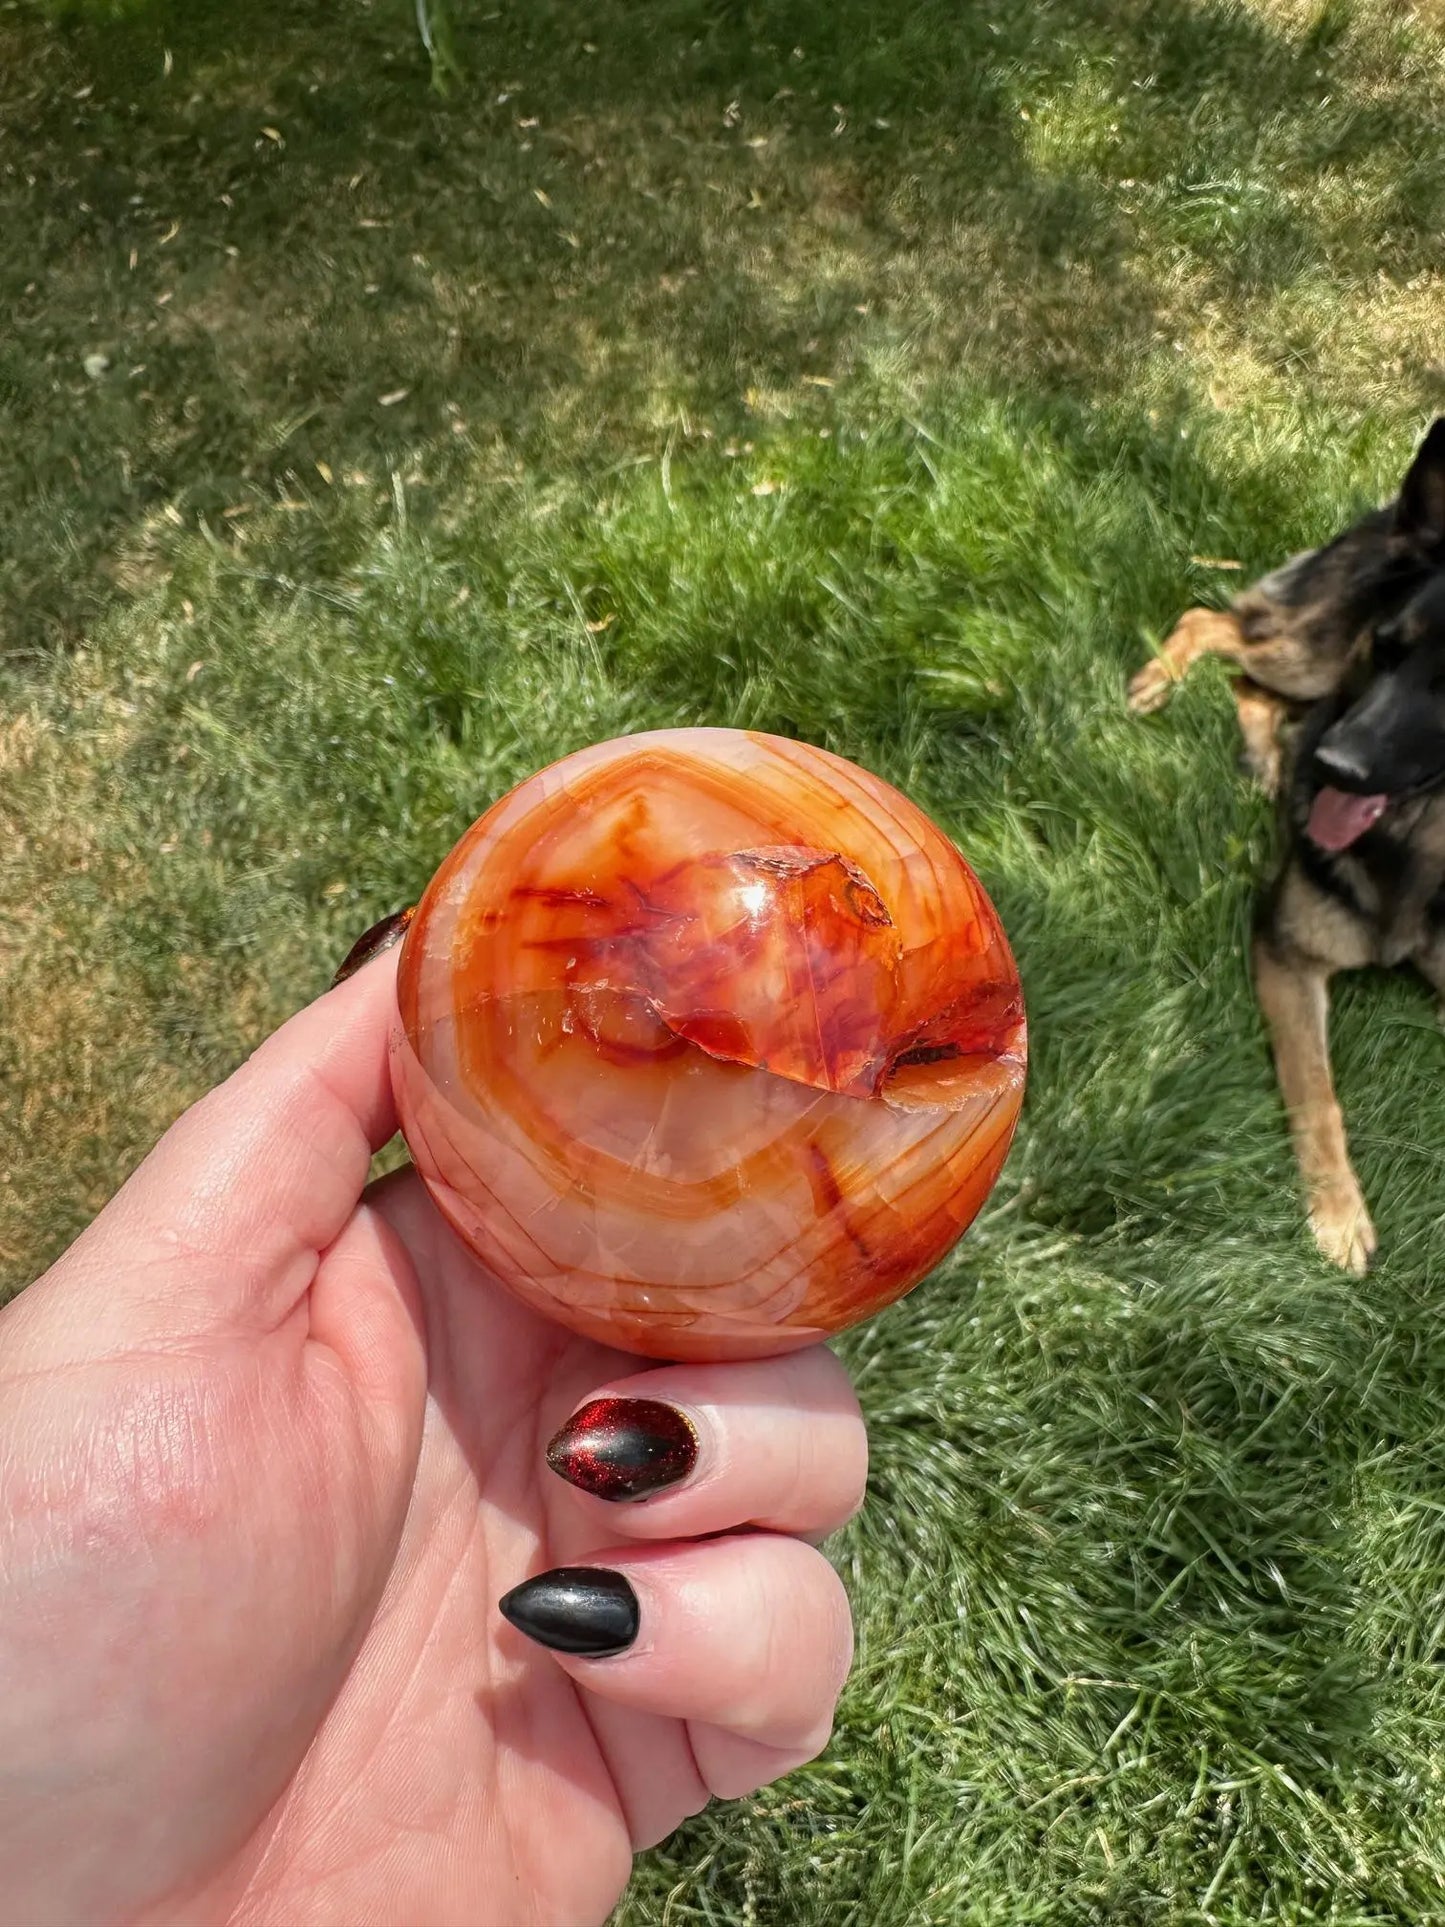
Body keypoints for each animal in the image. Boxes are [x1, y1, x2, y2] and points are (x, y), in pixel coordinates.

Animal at [1125, 414, 1445, 1271]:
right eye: (1388, 648)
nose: (1333, 766)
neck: (1417, 843)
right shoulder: (1285, 953)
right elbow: (1315, 1093)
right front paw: (1336, 1212)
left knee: (1249, 682)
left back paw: (1266, 755)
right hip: (1312, 657)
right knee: (1211, 624)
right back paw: (1161, 682)